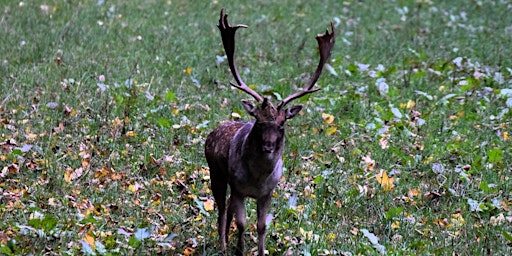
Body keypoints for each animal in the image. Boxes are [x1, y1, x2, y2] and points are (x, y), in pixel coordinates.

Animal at [205, 9, 336, 255]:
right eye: (258, 121)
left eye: (281, 124)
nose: (268, 146)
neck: (257, 180)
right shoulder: (238, 187)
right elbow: (242, 223)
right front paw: (238, 250)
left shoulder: (268, 192)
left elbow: (262, 225)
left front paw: (261, 251)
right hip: (215, 172)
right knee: (221, 208)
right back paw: (223, 244)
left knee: (226, 208)